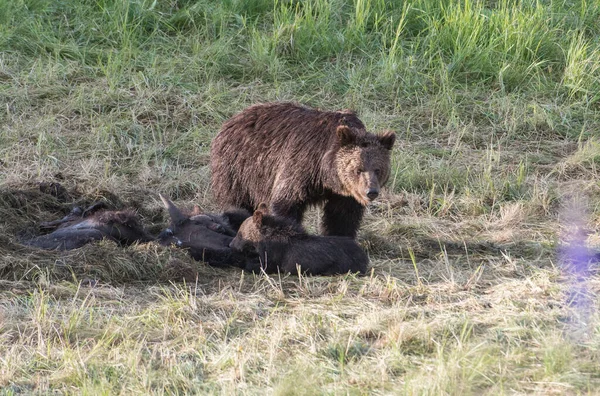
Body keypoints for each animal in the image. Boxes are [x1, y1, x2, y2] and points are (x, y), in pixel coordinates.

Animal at [209, 102, 396, 238]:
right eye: (358, 169)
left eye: (378, 169)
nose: (371, 192)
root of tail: (232, 119)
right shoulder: (300, 167)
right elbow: (286, 203)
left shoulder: (345, 194)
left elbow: (342, 216)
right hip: (239, 169)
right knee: (237, 201)